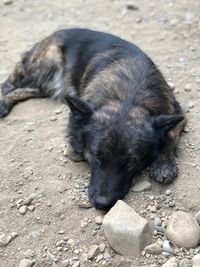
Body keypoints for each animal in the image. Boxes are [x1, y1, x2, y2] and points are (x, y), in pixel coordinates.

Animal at [0, 28, 186, 210]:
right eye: (96, 157)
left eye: (132, 162)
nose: (102, 204)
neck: (127, 96)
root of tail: (55, 33)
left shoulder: (177, 113)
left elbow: (170, 135)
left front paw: (163, 163)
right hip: (46, 62)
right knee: (18, 72)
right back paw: (4, 95)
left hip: (47, 85)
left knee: (28, 89)